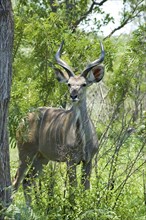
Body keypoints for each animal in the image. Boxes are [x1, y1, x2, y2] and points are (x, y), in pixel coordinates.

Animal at [12, 40, 105, 204]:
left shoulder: (88, 160)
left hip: (41, 158)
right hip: (26, 154)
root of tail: (22, 120)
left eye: (84, 84)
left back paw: (31, 208)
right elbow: (73, 191)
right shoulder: (71, 161)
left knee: (27, 181)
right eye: (69, 83)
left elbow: (85, 189)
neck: (82, 139)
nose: (73, 95)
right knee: (16, 181)